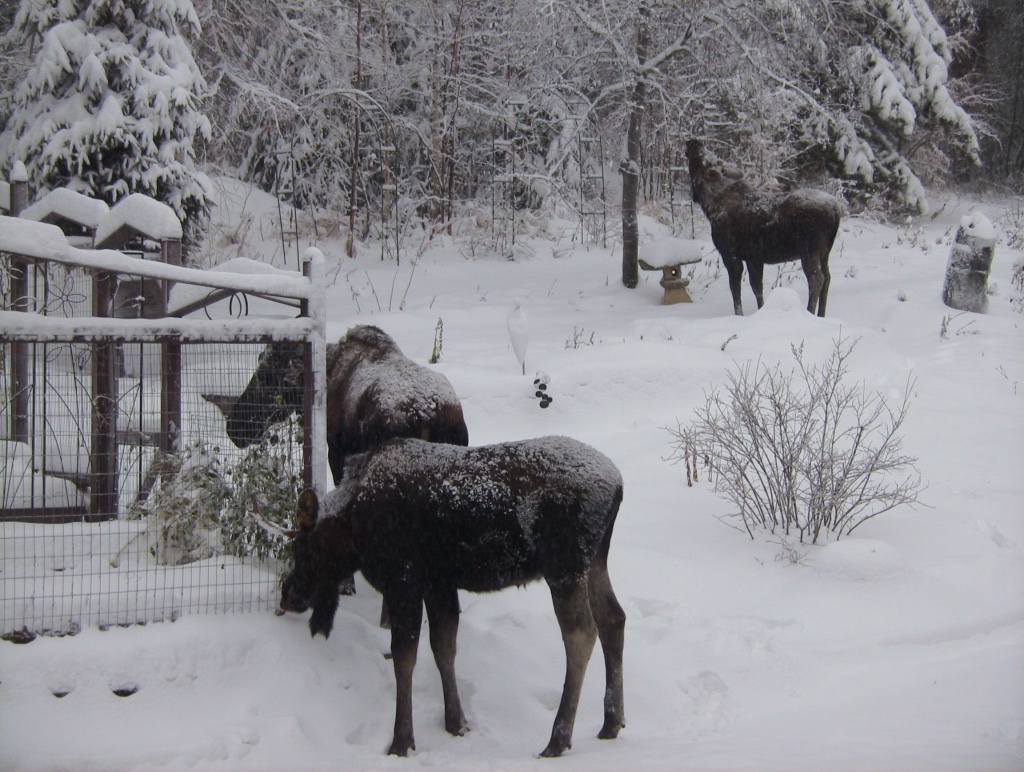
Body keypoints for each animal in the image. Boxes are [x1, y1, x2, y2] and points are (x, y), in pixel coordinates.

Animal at [282, 436, 630, 753]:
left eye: (302, 546)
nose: (288, 594)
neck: (352, 527)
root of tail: (618, 484)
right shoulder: (439, 583)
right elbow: (444, 648)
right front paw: (456, 722)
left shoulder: (403, 579)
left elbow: (404, 658)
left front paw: (402, 741)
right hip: (595, 561)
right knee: (613, 618)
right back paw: (611, 722)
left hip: (564, 565)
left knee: (581, 633)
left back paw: (558, 739)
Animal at [688, 138, 839, 315]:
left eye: (701, 160)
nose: (694, 142)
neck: (710, 207)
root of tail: (836, 209)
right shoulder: (754, 257)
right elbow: (757, 288)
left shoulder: (730, 253)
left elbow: (735, 289)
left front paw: (739, 315)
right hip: (824, 252)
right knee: (827, 278)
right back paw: (821, 315)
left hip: (809, 251)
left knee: (817, 279)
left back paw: (809, 312)